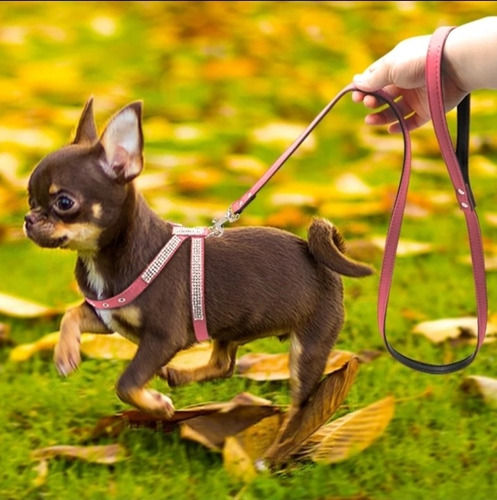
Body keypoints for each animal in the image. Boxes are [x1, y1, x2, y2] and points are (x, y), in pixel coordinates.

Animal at [24, 97, 372, 418]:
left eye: (64, 203)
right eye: (30, 198)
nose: (28, 219)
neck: (103, 256)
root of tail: (320, 258)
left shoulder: (163, 338)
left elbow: (126, 382)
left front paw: (157, 406)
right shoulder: (107, 315)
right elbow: (71, 315)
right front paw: (65, 354)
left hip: (309, 346)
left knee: (300, 404)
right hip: (233, 329)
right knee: (223, 364)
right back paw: (180, 375)